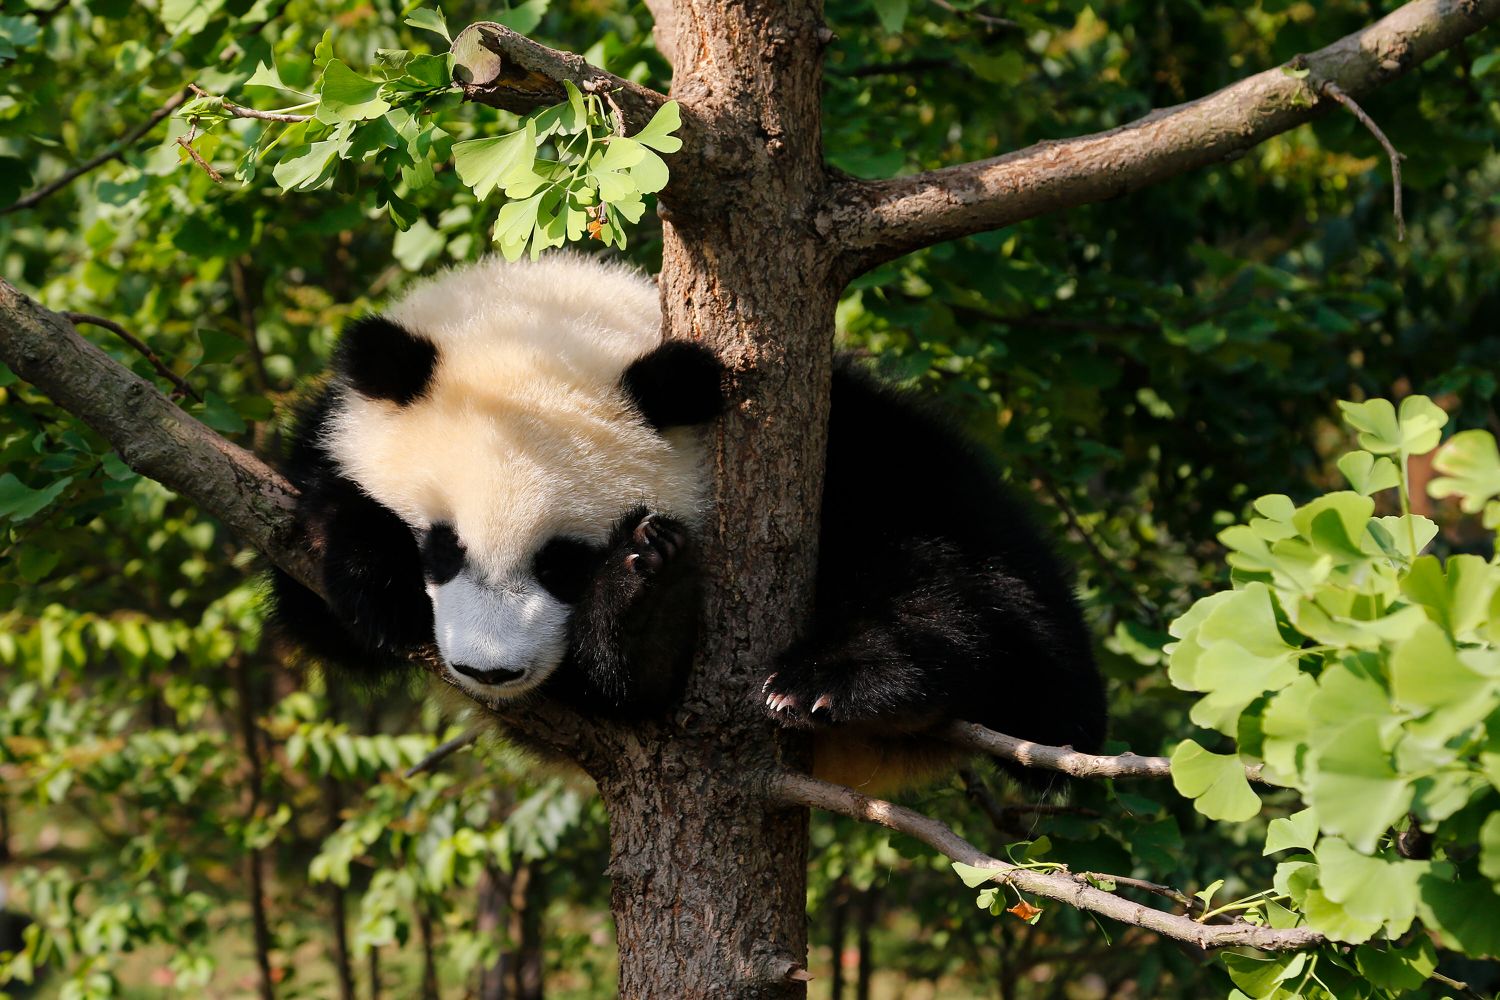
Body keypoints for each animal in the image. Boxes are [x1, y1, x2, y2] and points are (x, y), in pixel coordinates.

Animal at [270, 256, 1110, 791]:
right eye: (441, 548)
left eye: (563, 562)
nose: (490, 672)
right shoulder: (321, 436)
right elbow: (313, 593)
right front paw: (373, 572)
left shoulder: (849, 441)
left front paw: (636, 598)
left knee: (1000, 629)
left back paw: (831, 678)